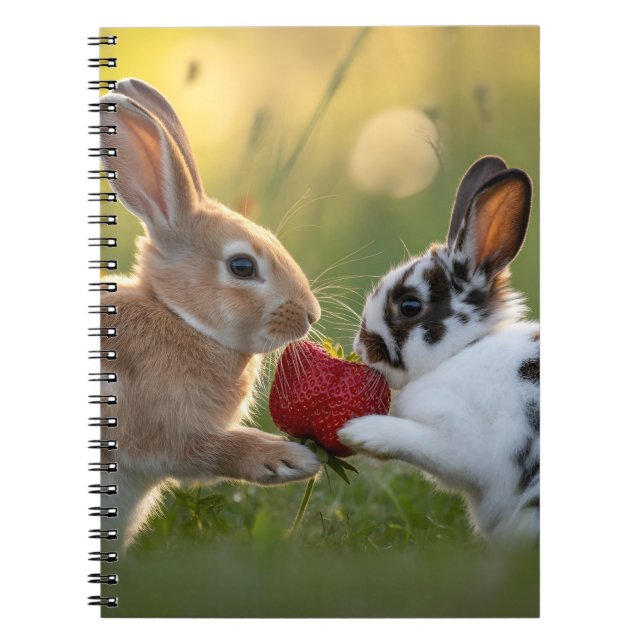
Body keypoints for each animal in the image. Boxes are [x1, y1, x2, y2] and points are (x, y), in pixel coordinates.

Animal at [97, 78, 321, 547]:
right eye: (242, 267)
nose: (312, 314)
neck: (181, 318)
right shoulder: (165, 433)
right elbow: (211, 450)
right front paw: (290, 459)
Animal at [338, 156, 539, 544]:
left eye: (410, 306)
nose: (360, 347)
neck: (463, 352)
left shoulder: (461, 441)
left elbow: (421, 443)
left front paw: (360, 432)